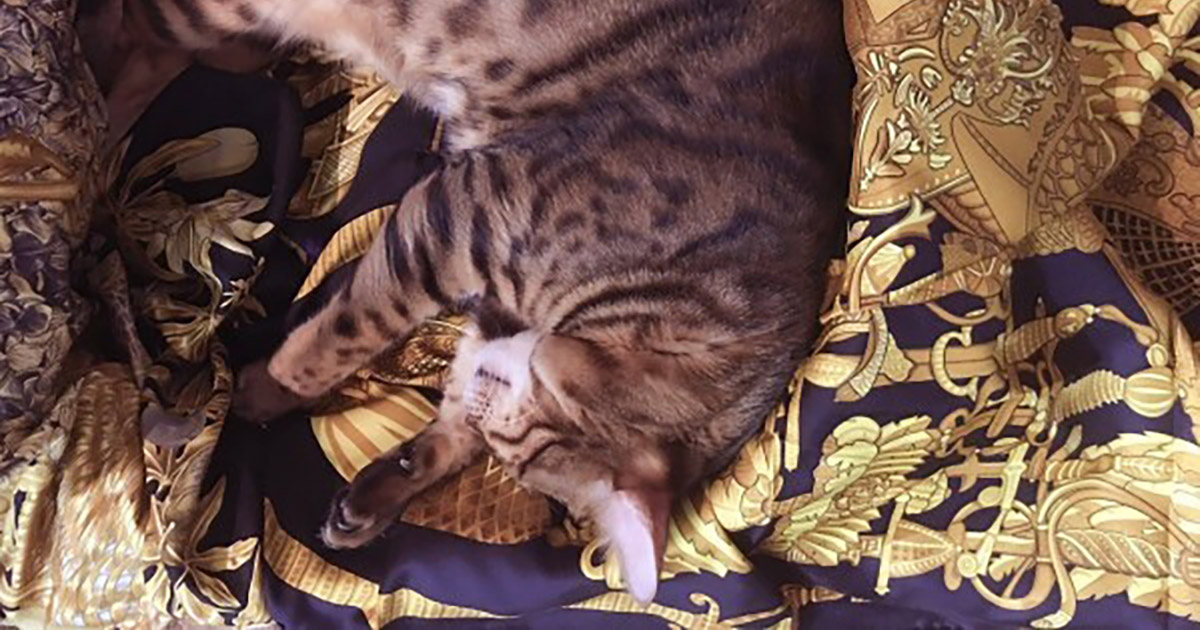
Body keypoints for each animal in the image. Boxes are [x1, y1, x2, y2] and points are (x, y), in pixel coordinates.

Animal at [87, 0, 852, 603]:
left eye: (510, 441)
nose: (489, 371)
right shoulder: (461, 210)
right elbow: (346, 332)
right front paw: (269, 391)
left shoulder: (482, 305)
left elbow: (440, 434)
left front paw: (384, 492)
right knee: (123, 30)